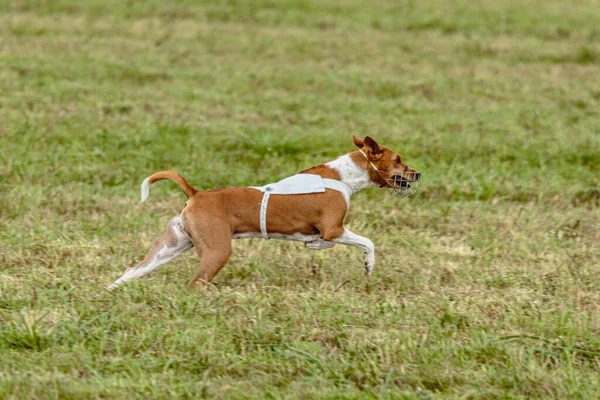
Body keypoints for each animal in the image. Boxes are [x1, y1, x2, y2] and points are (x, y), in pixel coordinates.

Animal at [105, 136, 420, 290]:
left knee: (133, 270)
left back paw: (109, 291)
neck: (344, 176)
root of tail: (196, 194)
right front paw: (368, 266)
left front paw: (313, 244)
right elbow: (366, 242)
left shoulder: (330, 230)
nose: (417, 173)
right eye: (398, 160)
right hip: (217, 251)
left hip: (170, 247)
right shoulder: (334, 228)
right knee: (195, 284)